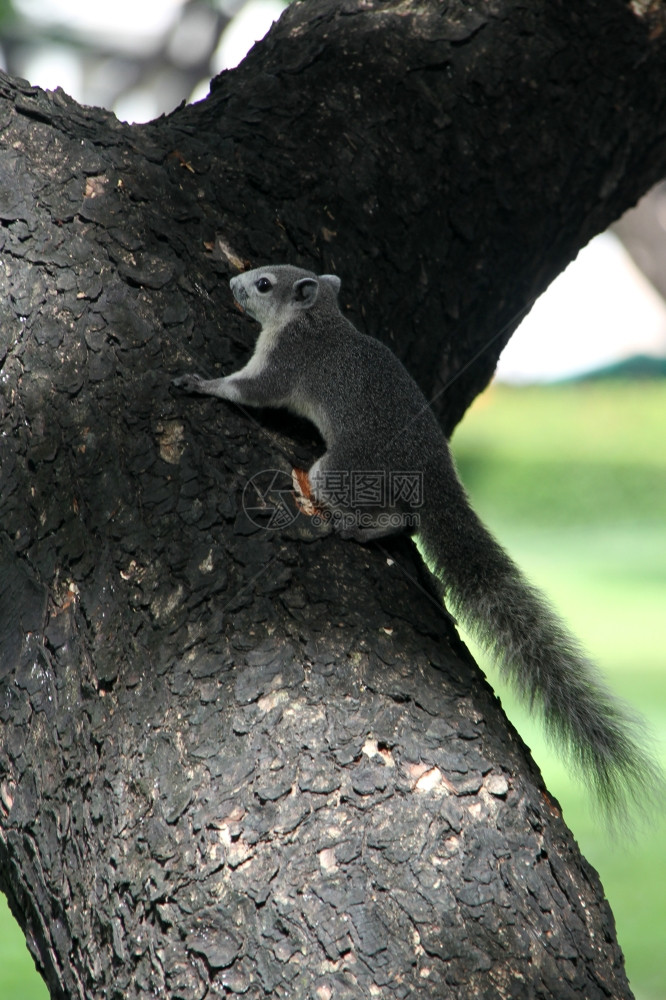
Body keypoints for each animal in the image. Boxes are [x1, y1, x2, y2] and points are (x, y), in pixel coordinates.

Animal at [175, 264, 660, 820]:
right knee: (407, 522)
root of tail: (434, 474)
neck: (317, 318)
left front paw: (202, 383)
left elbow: (251, 390)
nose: (233, 284)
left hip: (342, 470)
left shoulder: (286, 362)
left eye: (264, 284)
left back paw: (346, 523)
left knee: (376, 507)